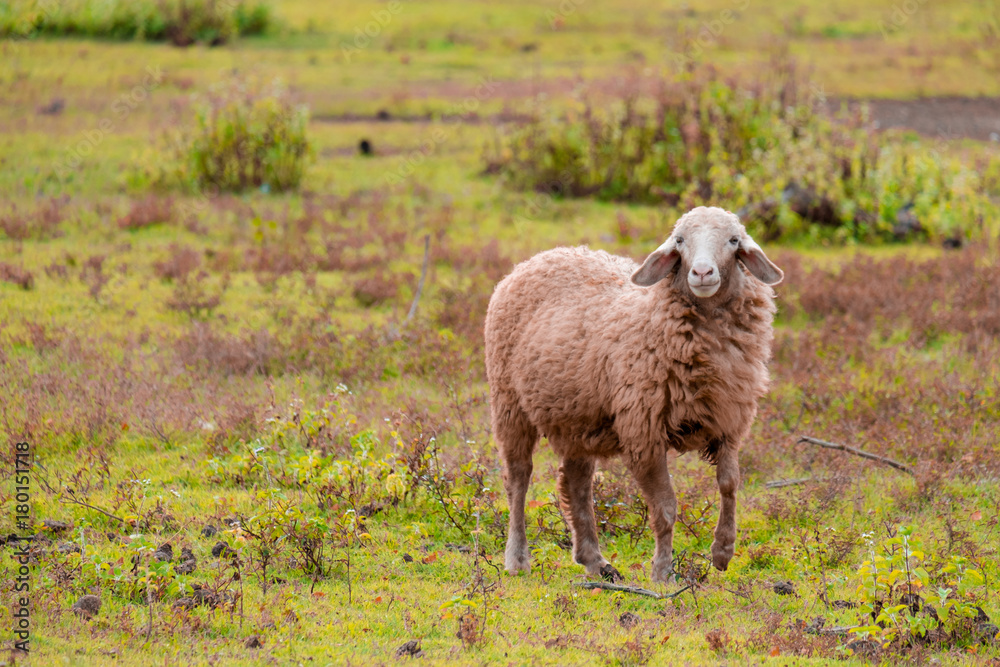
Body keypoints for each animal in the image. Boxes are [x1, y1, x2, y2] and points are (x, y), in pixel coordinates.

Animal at [484, 206, 783, 583]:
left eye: (733, 240)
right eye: (680, 241)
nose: (702, 272)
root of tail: (539, 257)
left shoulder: (728, 424)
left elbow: (730, 484)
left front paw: (723, 551)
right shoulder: (643, 432)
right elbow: (666, 507)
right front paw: (663, 571)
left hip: (576, 415)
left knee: (576, 484)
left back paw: (595, 561)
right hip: (509, 403)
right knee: (518, 479)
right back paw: (517, 558)